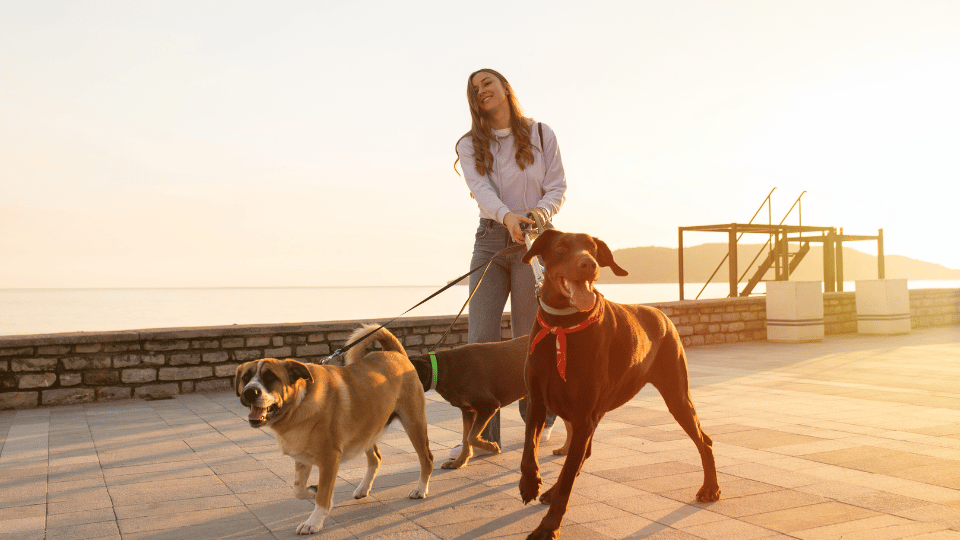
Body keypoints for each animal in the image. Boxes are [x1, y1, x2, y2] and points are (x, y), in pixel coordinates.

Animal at [236, 324, 436, 536]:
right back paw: (363, 488)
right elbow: (298, 489)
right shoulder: (302, 458)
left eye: (270, 377)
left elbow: (323, 496)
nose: (249, 392)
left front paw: (313, 522)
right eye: (245, 378)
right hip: (366, 429)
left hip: (413, 423)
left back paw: (420, 489)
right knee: (376, 458)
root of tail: (394, 353)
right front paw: (312, 490)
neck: (299, 404)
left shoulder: (329, 459)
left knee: (427, 458)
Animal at [404, 338, 524, 468]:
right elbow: (466, 437)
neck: (442, 368)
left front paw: (492, 447)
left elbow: (471, 437)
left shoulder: (488, 405)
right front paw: (459, 462)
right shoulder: (468, 410)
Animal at [516, 229, 720, 540]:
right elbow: (529, 450)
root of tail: (662, 315)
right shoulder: (538, 401)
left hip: (676, 395)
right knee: (583, 453)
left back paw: (711, 488)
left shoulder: (583, 415)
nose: (589, 265)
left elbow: (567, 480)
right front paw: (530, 483)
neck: (562, 325)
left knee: (704, 441)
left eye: (592, 249)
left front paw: (547, 527)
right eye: (562, 246)